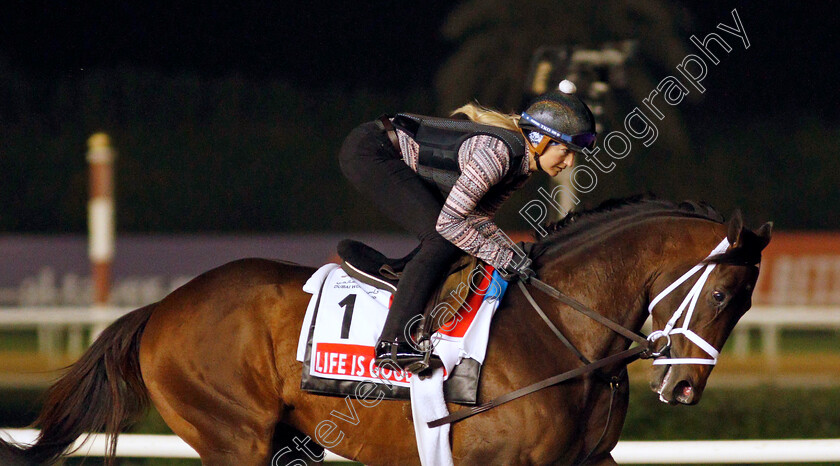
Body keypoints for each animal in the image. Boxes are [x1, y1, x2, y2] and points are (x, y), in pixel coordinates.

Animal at [3, 198, 772, 466]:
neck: (564, 332)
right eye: (722, 293)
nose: (684, 389)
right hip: (233, 437)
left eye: (744, 306)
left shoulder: (586, 462)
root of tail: (162, 308)